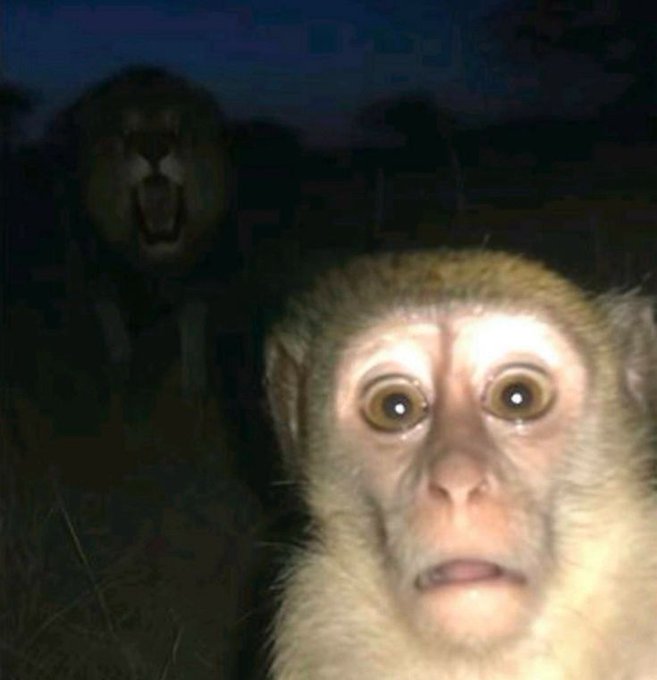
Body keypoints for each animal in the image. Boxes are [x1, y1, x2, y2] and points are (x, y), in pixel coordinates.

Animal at [48, 65, 232, 398]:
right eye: (126, 134)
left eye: (176, 130)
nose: (154, 149)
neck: (153, 259)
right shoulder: (96, 257)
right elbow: (109, 313)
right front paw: (121, 369)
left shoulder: (194, 271)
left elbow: (193, 320)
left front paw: (195, 383)